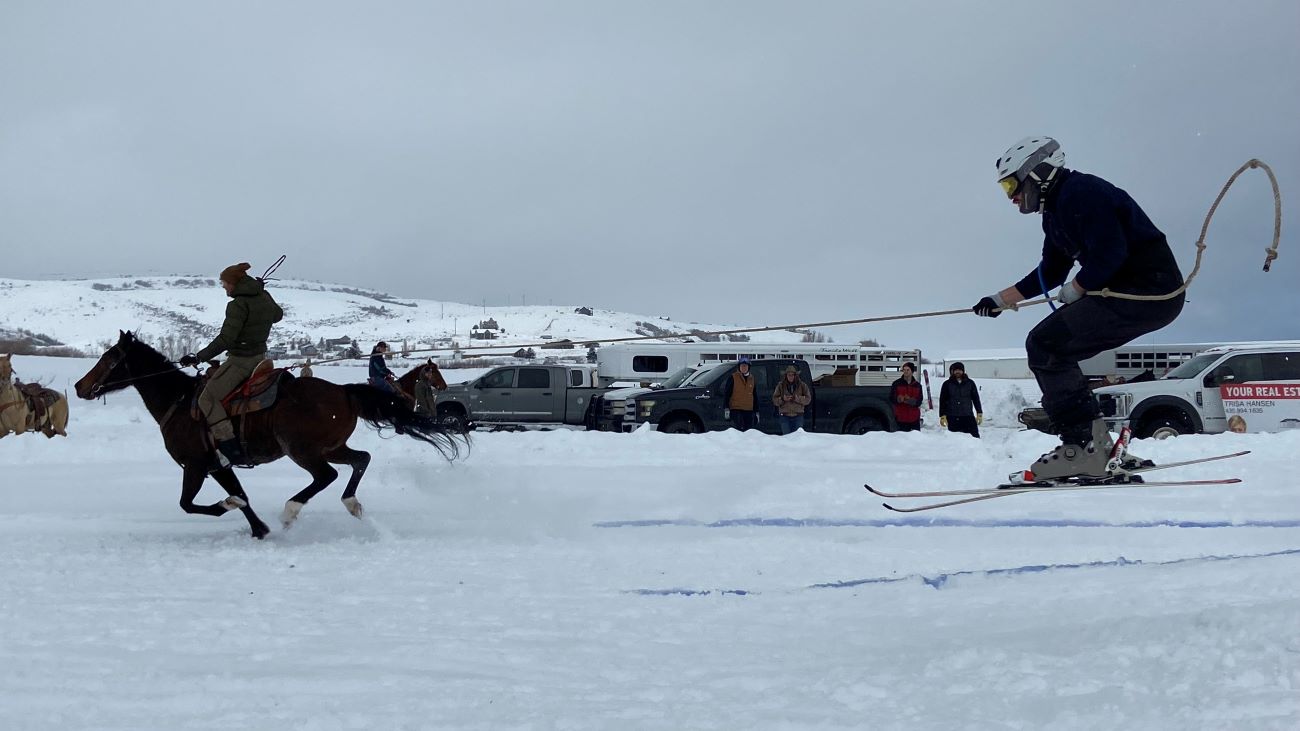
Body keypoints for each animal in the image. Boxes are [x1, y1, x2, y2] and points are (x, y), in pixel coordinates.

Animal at [74, 331, 468, 539]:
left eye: (109, 358)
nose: (80, 386)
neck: (179, 401)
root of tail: (344, 392)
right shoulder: (219, 465)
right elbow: (242, 495)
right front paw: (258, 528)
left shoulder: (196, 465)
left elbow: (190, 503)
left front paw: (231, 508)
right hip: (331, 446)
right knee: (360, 460)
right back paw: (351, 504)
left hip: (302, 450)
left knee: (326, 476)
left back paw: (291, 511)